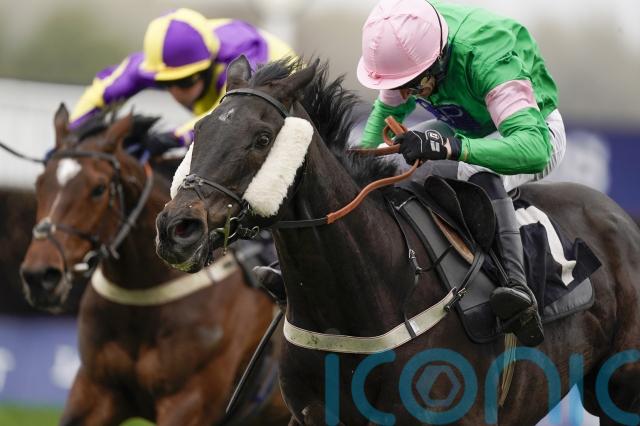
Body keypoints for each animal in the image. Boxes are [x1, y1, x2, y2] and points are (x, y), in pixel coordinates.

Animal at [20, 105, 290, 425]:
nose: (40, 276)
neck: (144, 299)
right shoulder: (94, 390)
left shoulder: (189, 400)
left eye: (99, 188)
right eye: (39, 183)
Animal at [156, 56, 640, 425]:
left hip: (621, 387)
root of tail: (619, 215)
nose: (177, 228)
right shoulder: (309, 414)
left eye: (261, 138)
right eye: (199, 131)